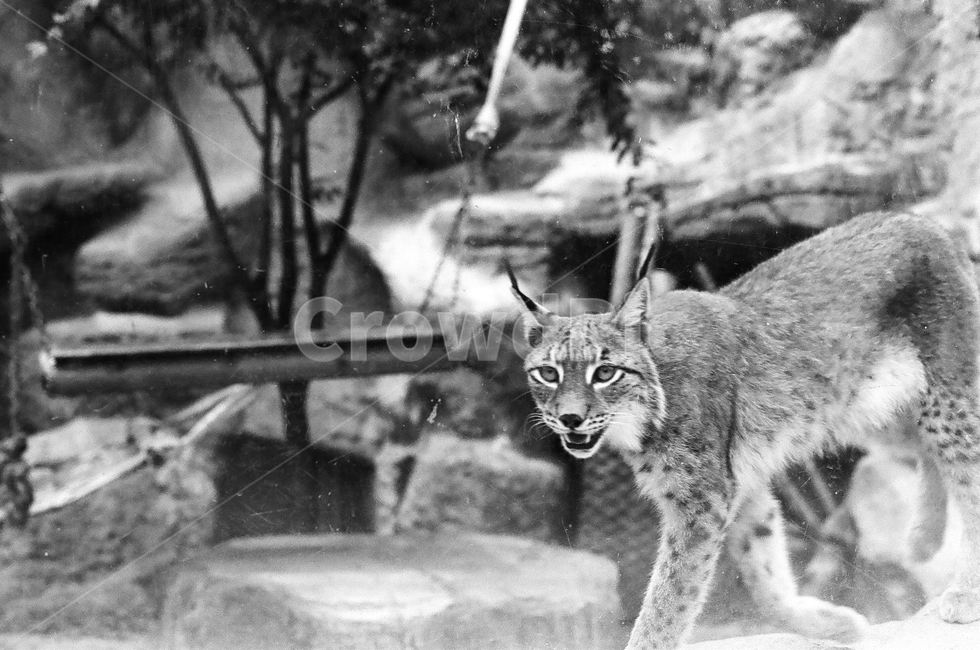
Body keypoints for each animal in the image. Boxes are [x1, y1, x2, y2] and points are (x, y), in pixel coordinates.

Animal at [512, 211, 980, 649]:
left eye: (605, 373)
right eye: (549, 374)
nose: (570, 419)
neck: (645, 413)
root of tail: (921, 221)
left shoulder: (702, 501)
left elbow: (668, 601)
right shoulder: (739, 486)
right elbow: (764, 577)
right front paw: (829, 624)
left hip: (948, 396)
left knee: (966, 475)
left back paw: (964, 593)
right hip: (865, 409)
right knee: (923, 452)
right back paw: (923, 538)